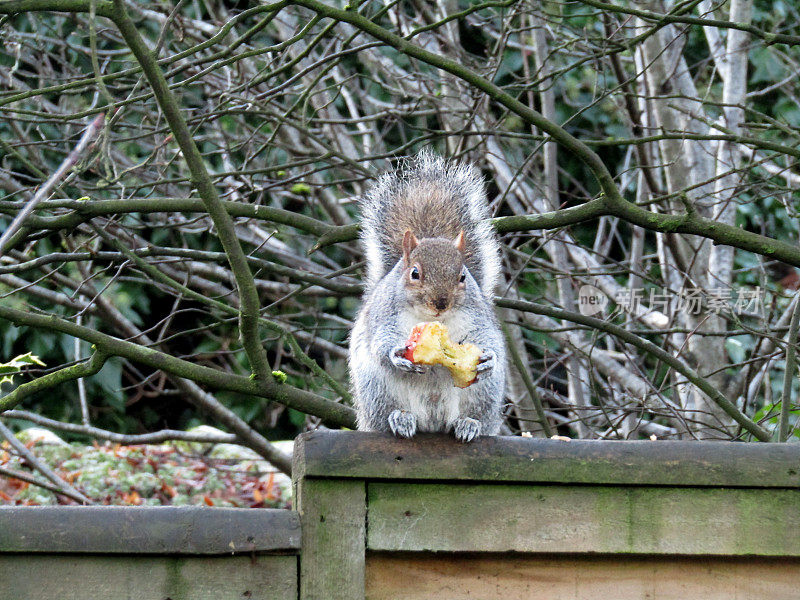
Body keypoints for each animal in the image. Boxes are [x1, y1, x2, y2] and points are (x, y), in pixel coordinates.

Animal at [350, 151, 506, 440]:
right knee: (388, 414)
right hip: (377, 391)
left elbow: (487, 336)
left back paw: (469, 424)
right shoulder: (383, 315)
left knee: (475, 415)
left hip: (484, 395)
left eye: (463, 277)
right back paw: (400, 419)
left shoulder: (477, 317)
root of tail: (432, 423)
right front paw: (396, 354)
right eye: (414, 273)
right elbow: (381, 341)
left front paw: (488, 357)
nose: (440, 303)